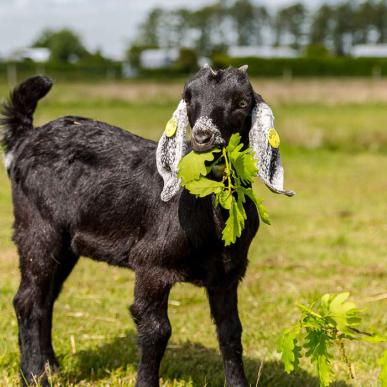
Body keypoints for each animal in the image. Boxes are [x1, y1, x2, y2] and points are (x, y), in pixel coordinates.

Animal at [0, 67, 292, 387]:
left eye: (241, 102)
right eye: (189, 99)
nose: (203, 137)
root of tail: (26, 137)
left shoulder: (227, 275)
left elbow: (230, 332)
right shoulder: (152, 265)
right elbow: (157, 329)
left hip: (66, 245)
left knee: (46, 298)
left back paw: (50, 366)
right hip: (38, 228)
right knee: (27, 300)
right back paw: (34, 375)